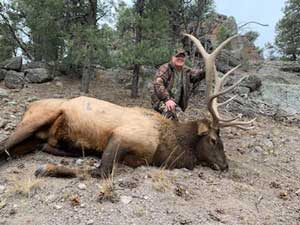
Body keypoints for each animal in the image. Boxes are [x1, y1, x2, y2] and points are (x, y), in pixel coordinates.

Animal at [0, 33, 254, 178]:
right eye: (213, 140)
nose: (225, 165)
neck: (166, 147)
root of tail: (29, 106)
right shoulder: (121, 136)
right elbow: (99, 172)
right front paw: (47, 169)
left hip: (37, 138)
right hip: (36, 119)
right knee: (4, 145)